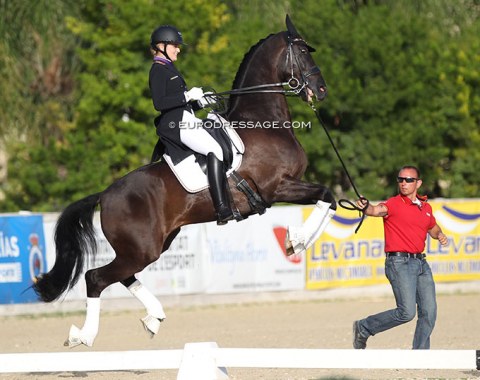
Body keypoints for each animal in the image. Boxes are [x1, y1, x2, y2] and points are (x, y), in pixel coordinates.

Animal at [33, 15, 336, 348]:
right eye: (304, 52)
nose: (321, 90)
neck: (260, 122)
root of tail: (105, 194)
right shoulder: (277, 186)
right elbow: (328, 194)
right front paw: (297, 240)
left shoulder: (288, 185)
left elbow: (329, 199)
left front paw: (300, 240)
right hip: (142, 248)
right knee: (95, 278)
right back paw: (84, 336)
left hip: (151, 245)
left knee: (121, 276)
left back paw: (153, 317)